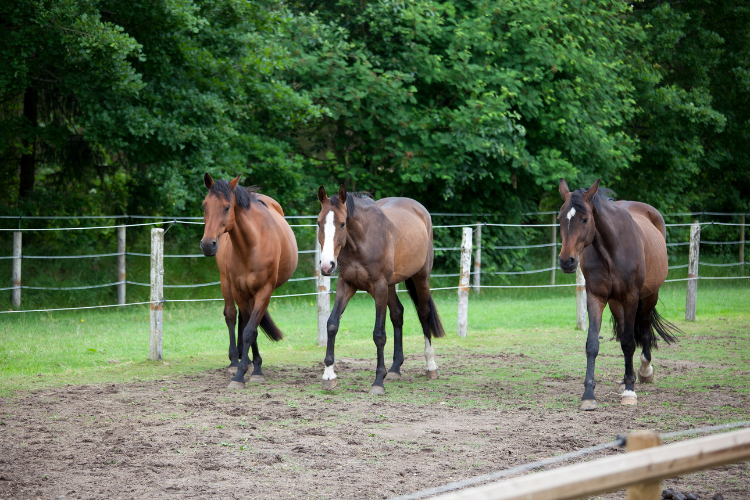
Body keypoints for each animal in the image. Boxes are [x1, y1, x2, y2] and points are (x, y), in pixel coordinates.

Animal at [201, 174, 298, 388]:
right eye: (204, 206)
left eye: (227, 207)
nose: (207, 245)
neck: (251, 246)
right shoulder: (239, 291)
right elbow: (247, 328)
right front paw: (242, 371)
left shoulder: (264, 291)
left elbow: (250, 330)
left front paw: (253, 370)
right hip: (226, 284)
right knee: (231, 315)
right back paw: (233, 360)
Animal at [318, 186, 446, 396]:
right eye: (319, 222)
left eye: (343, 223)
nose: (327, 266)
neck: (361, 241)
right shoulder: (346, 285)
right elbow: (332, 324)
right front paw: (329, 375)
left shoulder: (379, 287)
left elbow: (379, 334)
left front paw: (378, 381)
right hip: (391, 285)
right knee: (397, 314)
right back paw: (395, 368)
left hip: (420, 277)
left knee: (424, 313)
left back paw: (431, 365)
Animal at [560, 180, 680, 410]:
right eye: (560, 218)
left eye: (585, 219)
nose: (566, 261)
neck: (611, 250)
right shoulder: (596, 297)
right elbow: (592, 344)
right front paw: (588, 394)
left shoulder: (631, 297)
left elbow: (629, 343)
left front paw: (630, 392)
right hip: (616, 303)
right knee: (627, 330)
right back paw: (628, 376)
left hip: (649, 295)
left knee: (644, 326)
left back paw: (643, 371)